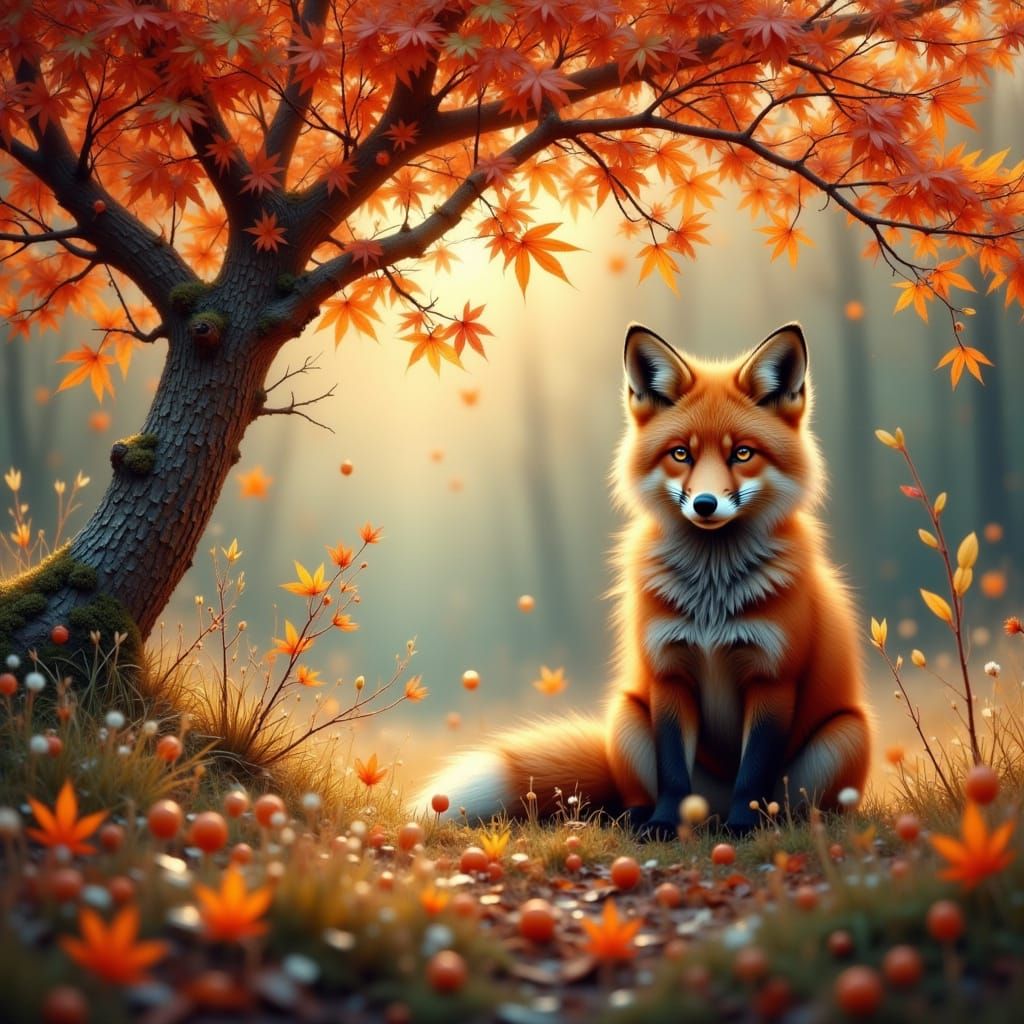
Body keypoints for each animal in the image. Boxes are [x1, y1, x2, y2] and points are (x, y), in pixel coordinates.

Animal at [419, 322, 871, 835]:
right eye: (681, 454)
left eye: (742, 453)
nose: (705, 505)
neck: (712, 602)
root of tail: (709, 811)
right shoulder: (667, 672)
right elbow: (672, 769)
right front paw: (664, 824)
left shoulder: (773, 677)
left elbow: (753, 773)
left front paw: (744, 826)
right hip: (627, 713)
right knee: (634, 795)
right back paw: (641, 820)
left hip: (842, 737)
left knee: (796, 804)